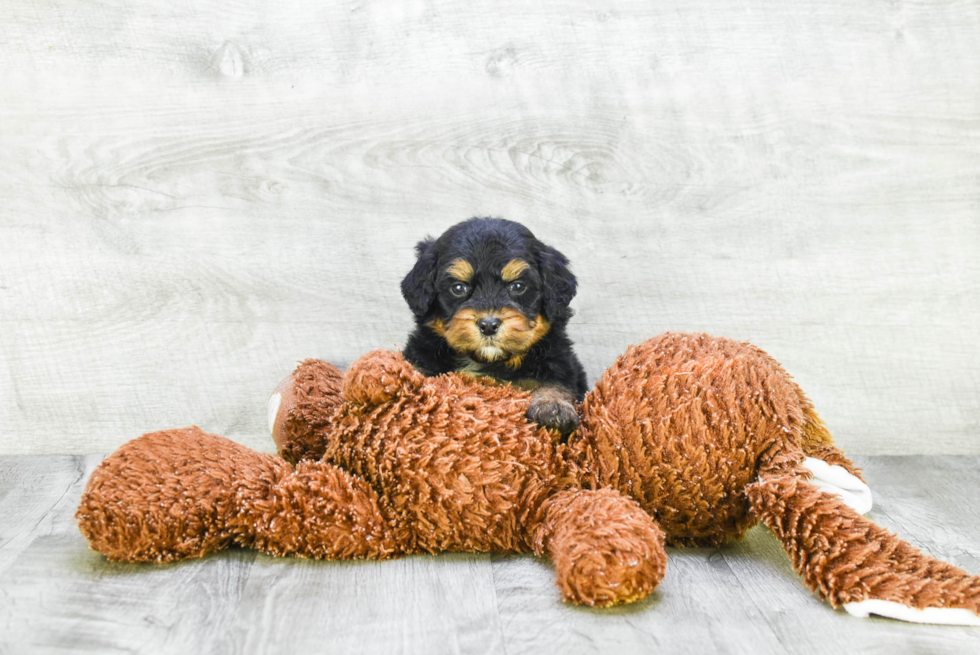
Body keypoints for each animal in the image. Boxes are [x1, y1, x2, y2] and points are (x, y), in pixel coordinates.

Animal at [400, 218, 584, 438]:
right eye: (458, 288)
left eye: (518, 286)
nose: (488, 325)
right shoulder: (424, 354)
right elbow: (417, 371)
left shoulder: (557, 360)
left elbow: (556, 383)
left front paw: (554, 407)